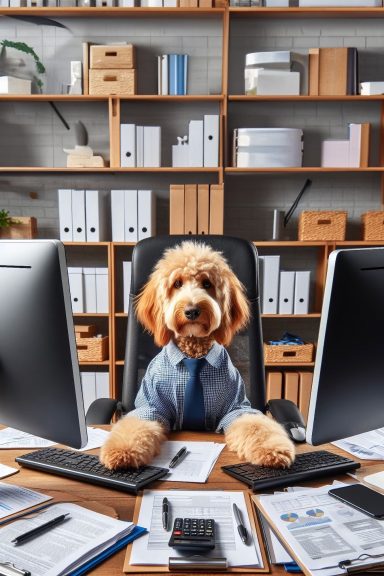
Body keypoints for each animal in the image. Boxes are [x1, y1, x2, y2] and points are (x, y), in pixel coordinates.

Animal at [100, 241, 296, 470]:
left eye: (207, 283)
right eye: (177, 283)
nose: (192, 311)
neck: (193, 355)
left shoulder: (237, 407)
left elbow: (256, 425)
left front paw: (272, 450)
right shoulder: (151, 405)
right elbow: (136, 423)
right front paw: (121, 451)